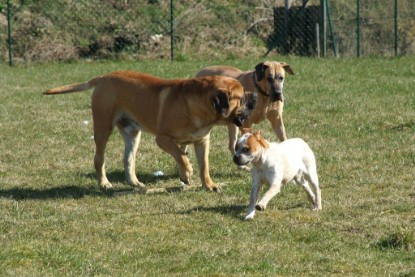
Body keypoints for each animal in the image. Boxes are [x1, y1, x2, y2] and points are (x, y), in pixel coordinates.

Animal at [45, 70, 254, 192]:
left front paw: (209, 185)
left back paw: (135, 183)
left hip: (132, 134)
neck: (199, 106)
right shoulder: (163, 139)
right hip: (103, 127)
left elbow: (204, 166)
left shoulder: (202, 141)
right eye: (241, 97)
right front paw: (186, 173)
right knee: (99, 158)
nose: (254, 95)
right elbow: (182, 156)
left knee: (128, 159)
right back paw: (104, 183)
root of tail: (103, 76)